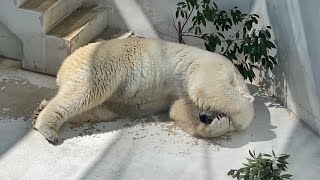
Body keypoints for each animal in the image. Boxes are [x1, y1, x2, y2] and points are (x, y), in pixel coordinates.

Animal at [31, 37, 254, 143]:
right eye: (220, 112)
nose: (206, 117)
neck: (235, 75)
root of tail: (65, 65)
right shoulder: (214, 65)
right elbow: (207, 90)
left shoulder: (184, 95)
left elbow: (179, 109)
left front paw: (213, 126)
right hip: (104, 65)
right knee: (84, 93)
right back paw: (47, 128)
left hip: (109, 102)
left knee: (93, 108)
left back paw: (39, 110)